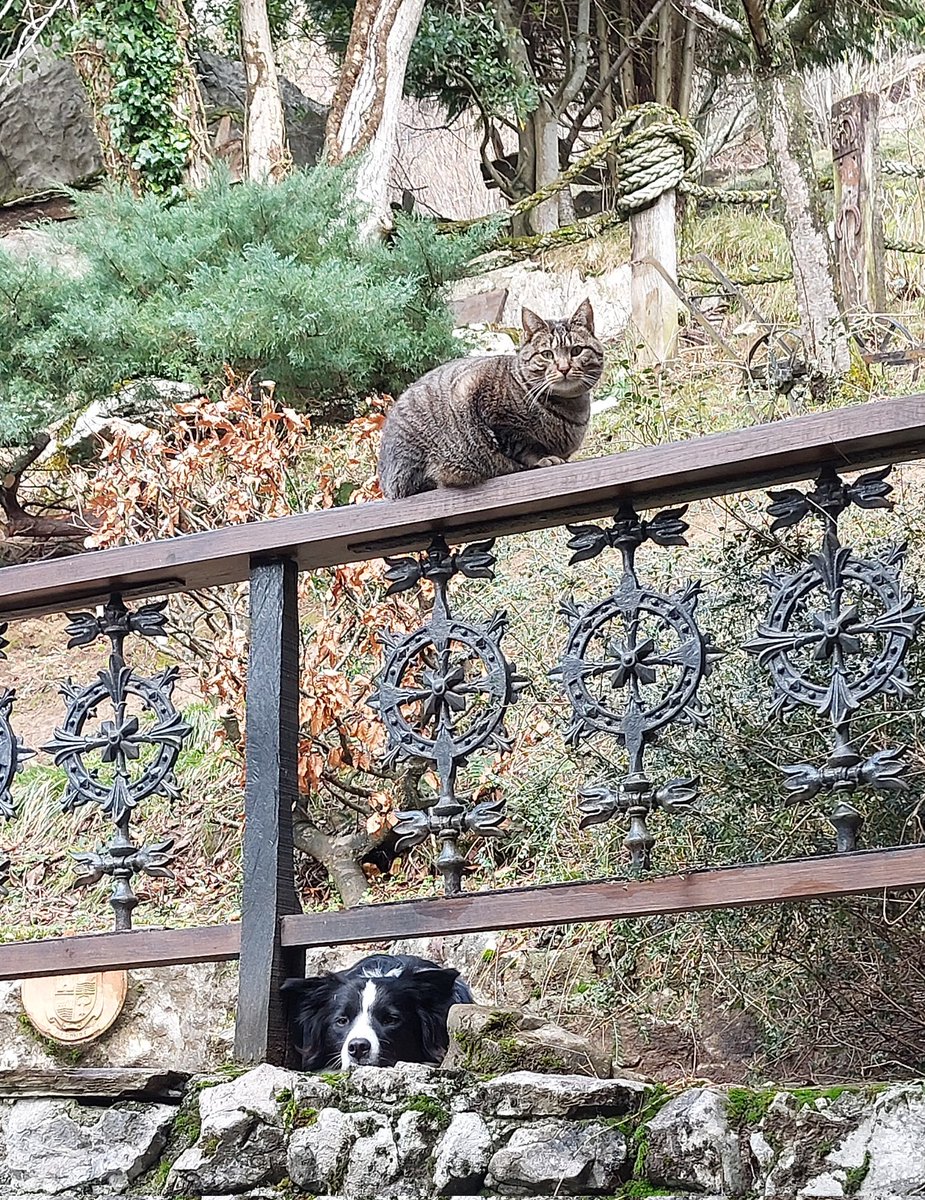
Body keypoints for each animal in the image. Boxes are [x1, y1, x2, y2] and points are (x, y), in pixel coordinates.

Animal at [379, 304, 607, 501]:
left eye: (576, 350)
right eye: (547, 354)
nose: (563, 367)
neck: (570, 409)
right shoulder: (484, 404)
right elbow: (523, 445)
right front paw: (542, 458)